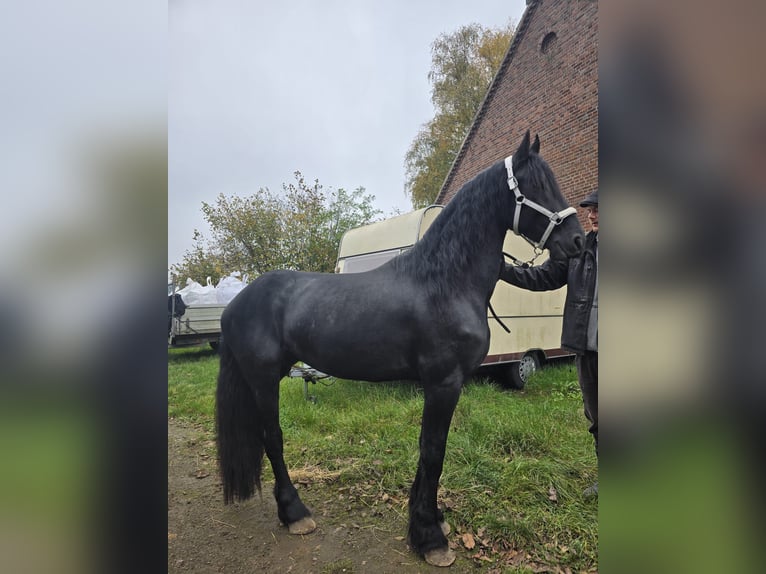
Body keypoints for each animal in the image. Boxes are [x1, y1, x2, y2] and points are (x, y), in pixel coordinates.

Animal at [213, 133, 584, 568]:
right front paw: (430, 539)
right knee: (273, 438)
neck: (444, 282)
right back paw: (295, 514)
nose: (577, 241)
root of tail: (237, 303)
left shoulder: (443, 385)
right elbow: (433, 451)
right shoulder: (443, 382)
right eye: (537, 186)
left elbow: (430, 453)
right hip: (264, 380)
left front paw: (432, 522)